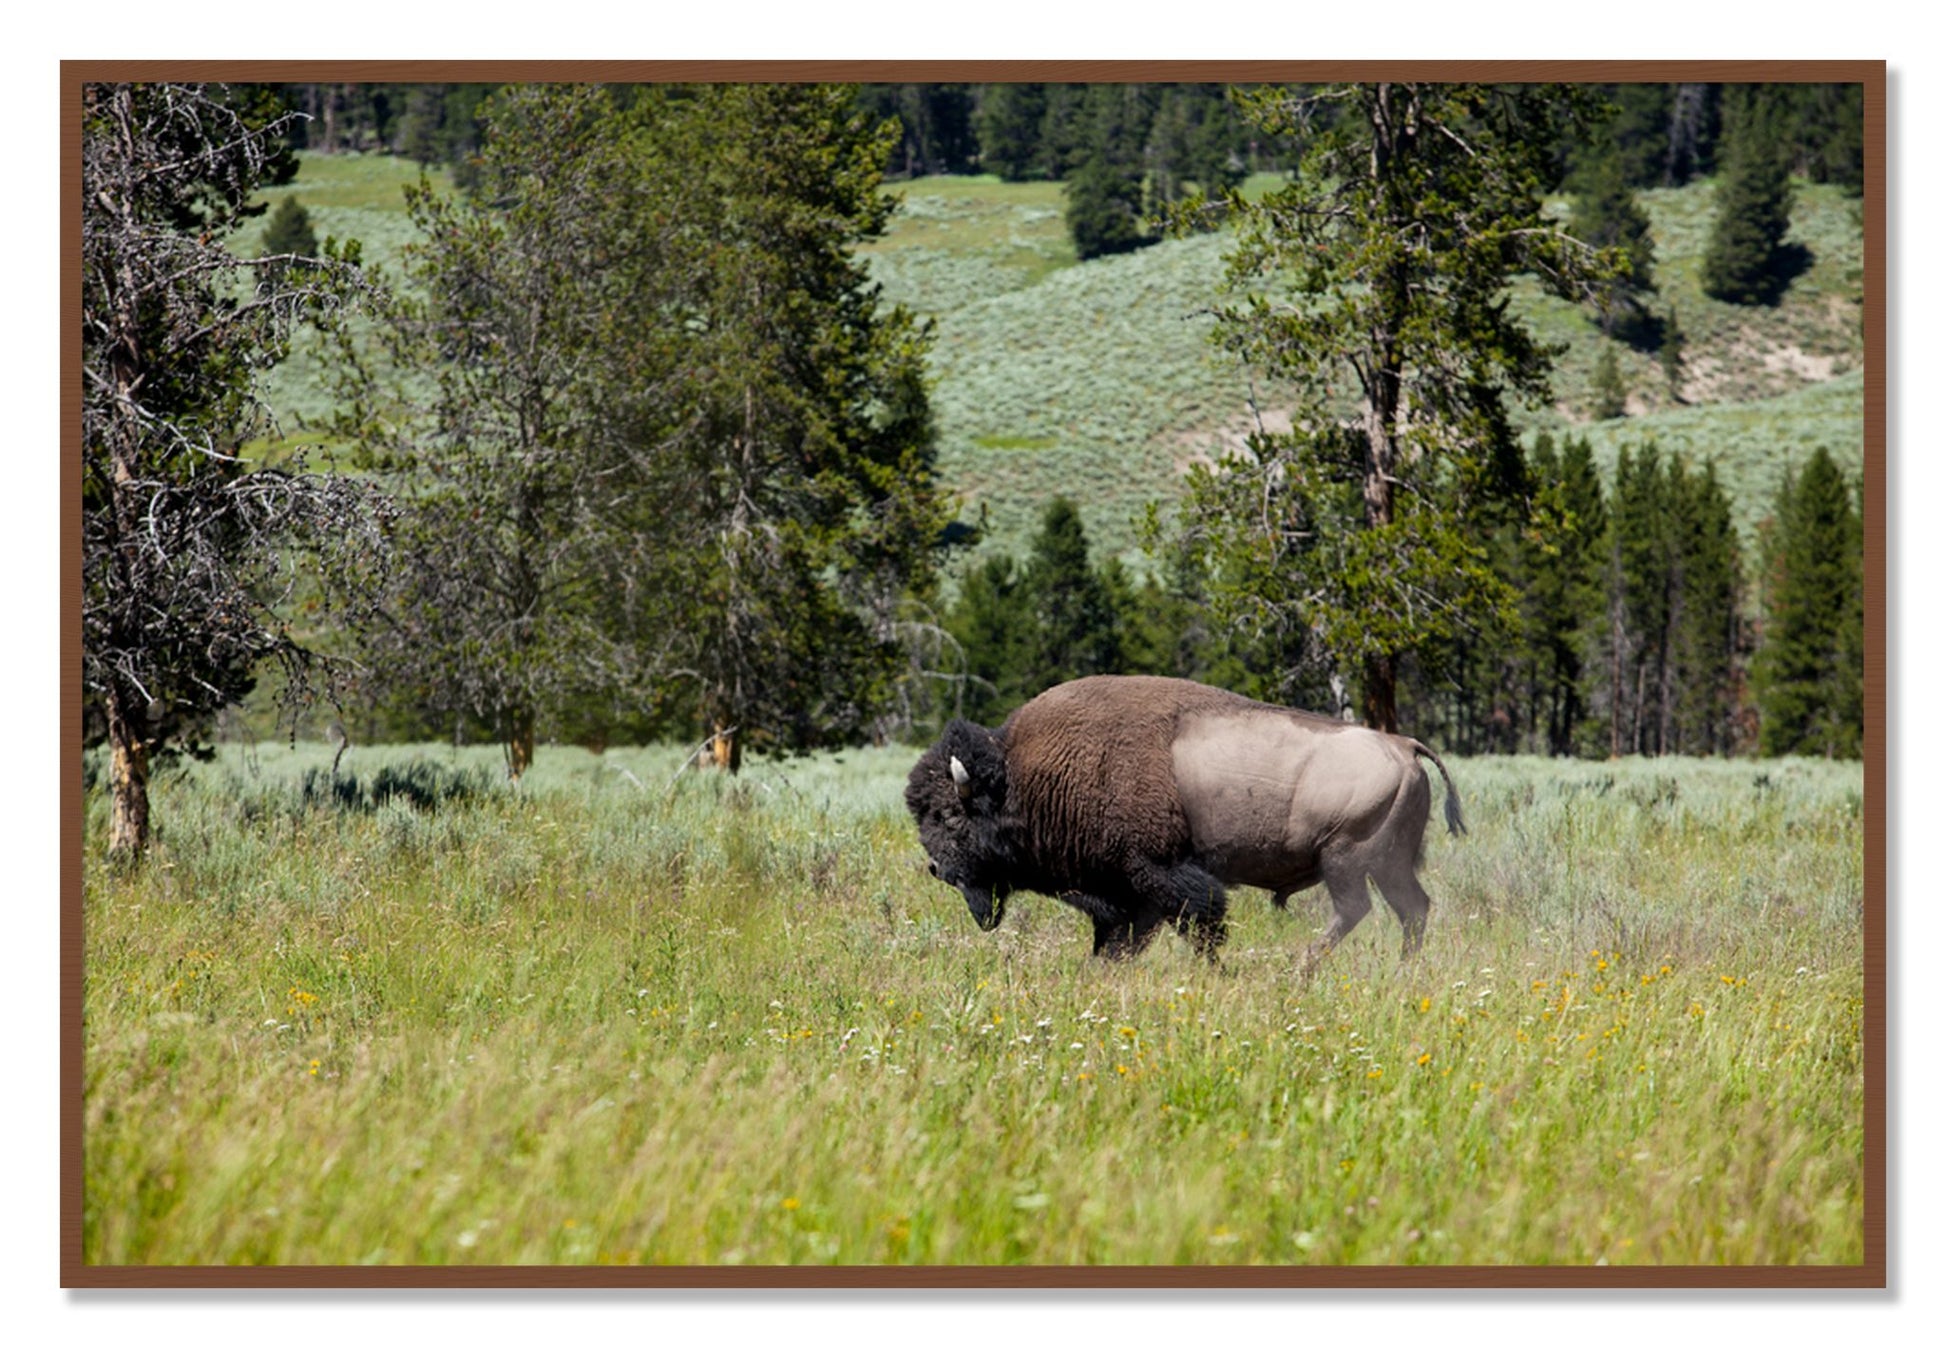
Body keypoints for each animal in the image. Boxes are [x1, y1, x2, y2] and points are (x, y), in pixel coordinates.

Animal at [905, 675, 1465, 972]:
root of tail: (1403, 745)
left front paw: (1216, 971)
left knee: (1356, 910)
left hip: (1345, 858)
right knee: (1412, 909)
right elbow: (1121, 939)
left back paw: (1300, 968)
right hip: (1388, 864)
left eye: (949, 815)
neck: (1023, 776)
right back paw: (1402, 969)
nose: (937, 868)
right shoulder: (1127, 894)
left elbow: (1200, 924)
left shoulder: (1159, 874)